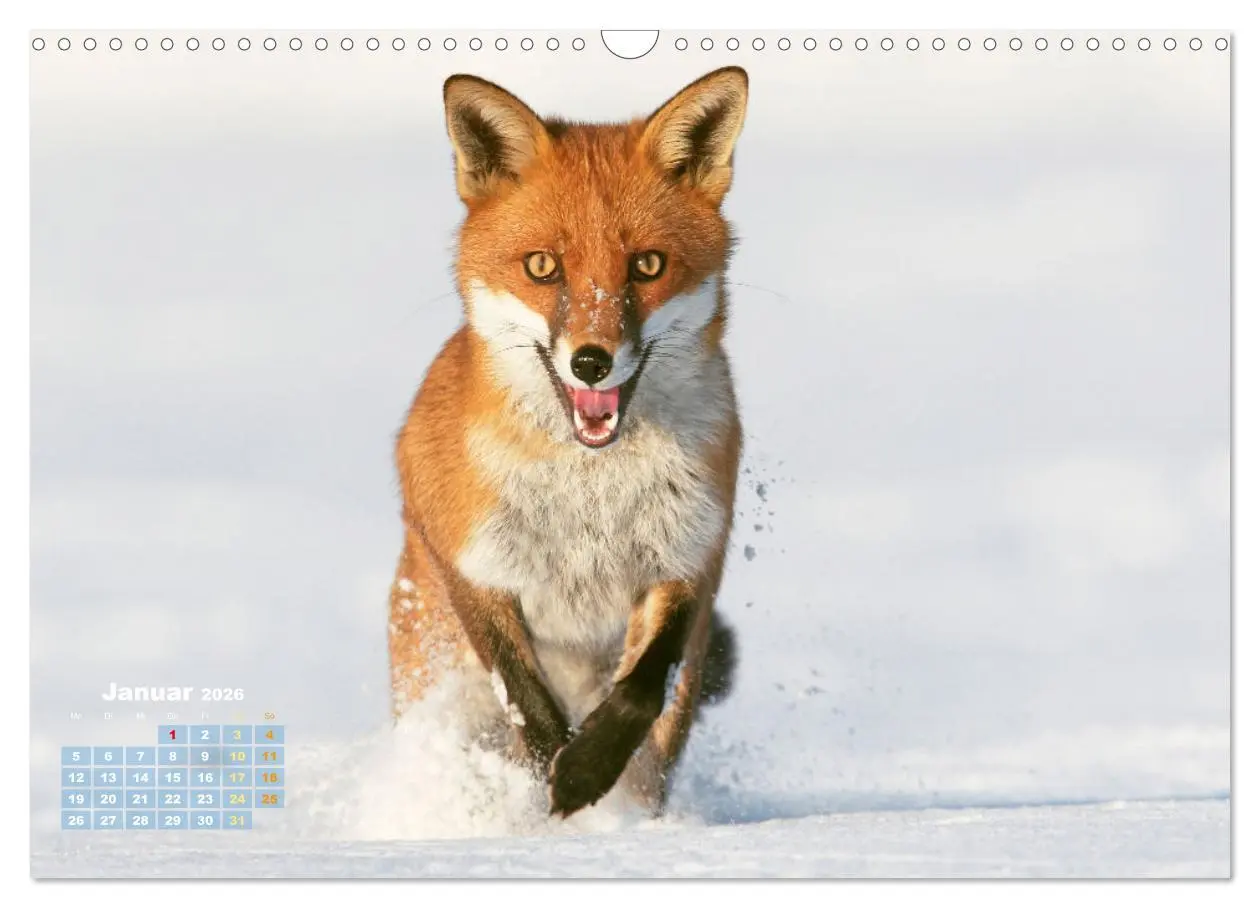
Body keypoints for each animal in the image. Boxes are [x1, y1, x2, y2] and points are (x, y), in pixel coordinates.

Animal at [387, 66, 749, 819]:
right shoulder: (472, 560)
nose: (590, 362)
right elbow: (525, 698)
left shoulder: (690, 554)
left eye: (647, 265)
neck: (590, 492)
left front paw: (585, 770)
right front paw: (551, 775)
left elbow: (642, 686)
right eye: (542, 267)